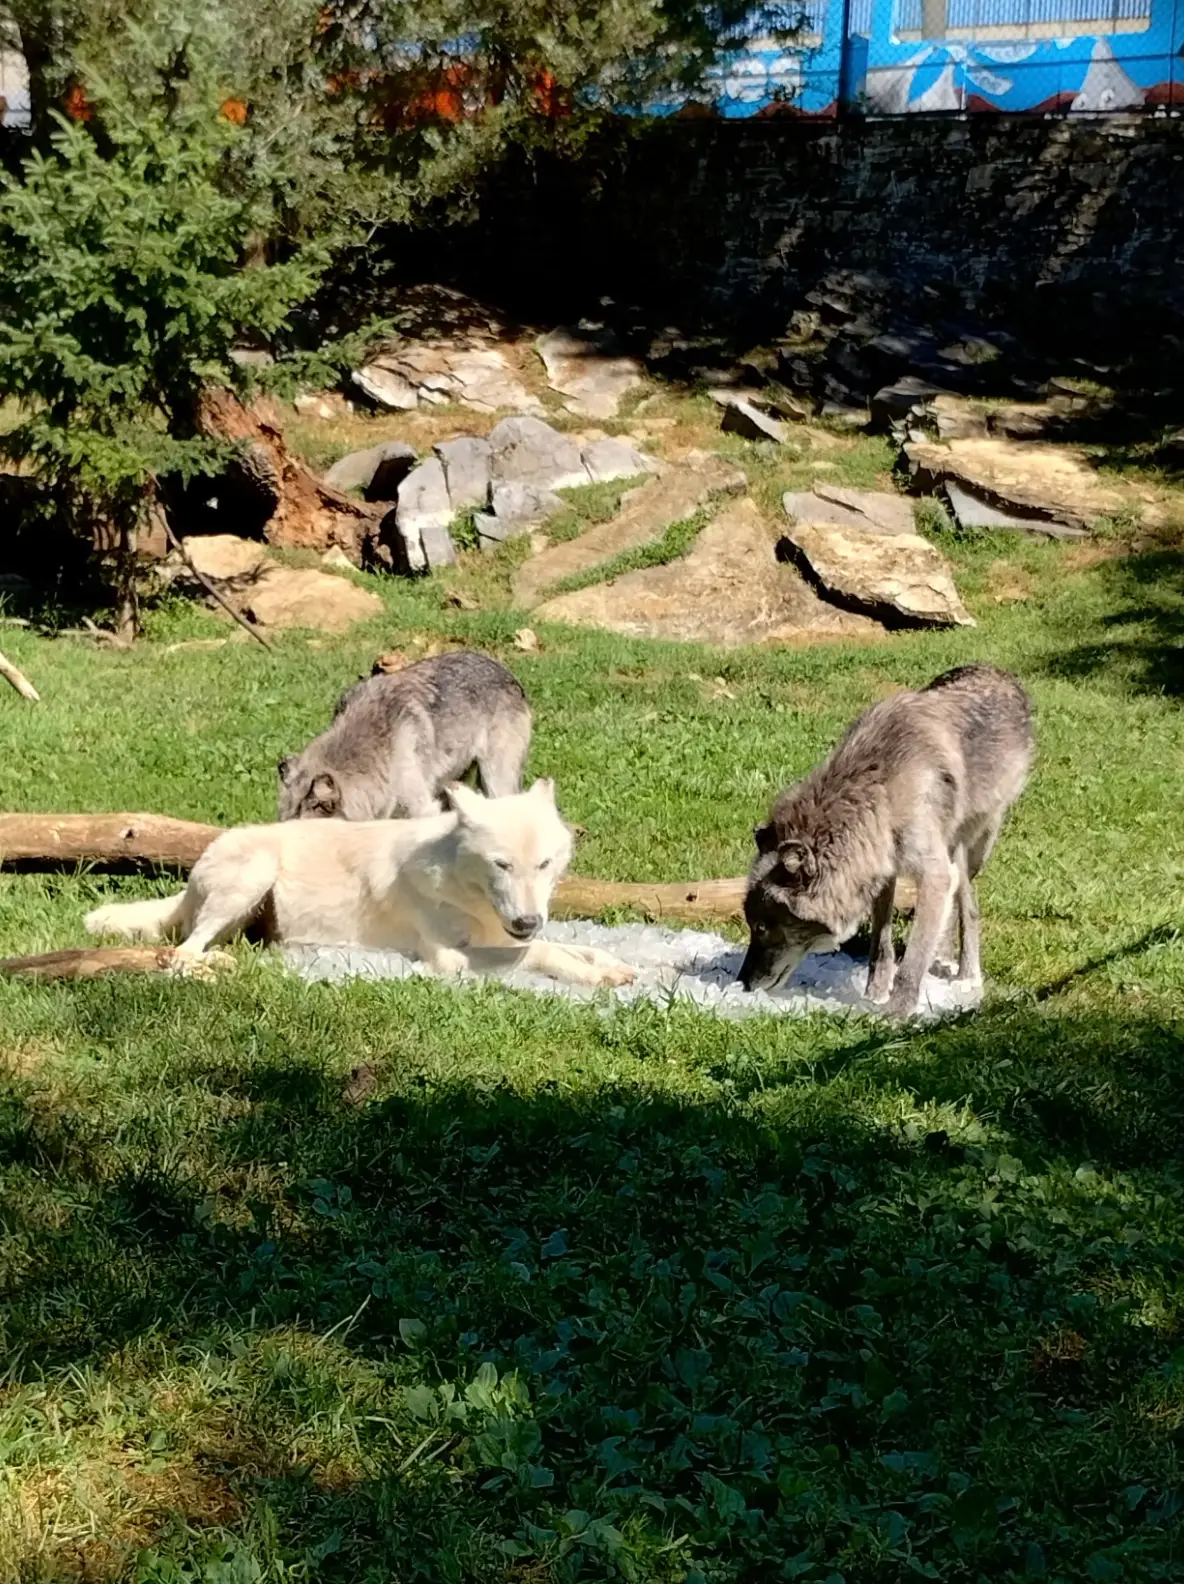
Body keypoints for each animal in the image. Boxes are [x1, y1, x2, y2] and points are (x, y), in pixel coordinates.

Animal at [84, 779, 635, 989]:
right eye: (501, 865)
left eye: (543, 864)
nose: (526, 918)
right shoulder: (449, 960)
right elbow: (538, 952)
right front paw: (592, 977)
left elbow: (573, 946)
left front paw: (614, 965)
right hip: (253, 873)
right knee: (182, 951)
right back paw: (213, 965)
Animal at [738, 664, 1034, 1017]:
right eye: (752, 925)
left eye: (762, 928)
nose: (742, 983)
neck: (881, 791)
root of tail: (997, 670)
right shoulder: (882, 870)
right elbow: (881, 945)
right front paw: (874, 995)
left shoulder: (932, 872)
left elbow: (915, 956)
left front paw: (896, 1012)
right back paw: (942, 958)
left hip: (974, 848)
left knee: (968, 905)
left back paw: (967, 975)